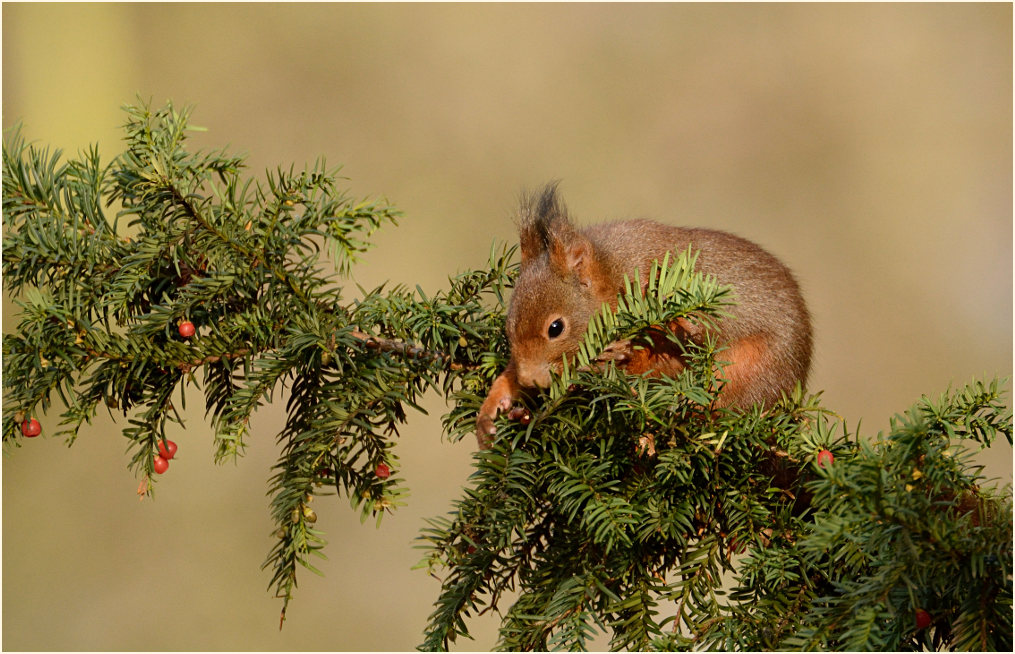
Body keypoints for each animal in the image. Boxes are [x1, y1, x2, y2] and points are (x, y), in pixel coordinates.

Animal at [475, 183, 812, 448]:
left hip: (753, 372)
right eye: (508, 326)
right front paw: (492, 407)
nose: (530, 379)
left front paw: (615, 360)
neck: (614, 274)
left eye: (555, 328)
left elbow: (668, 357)